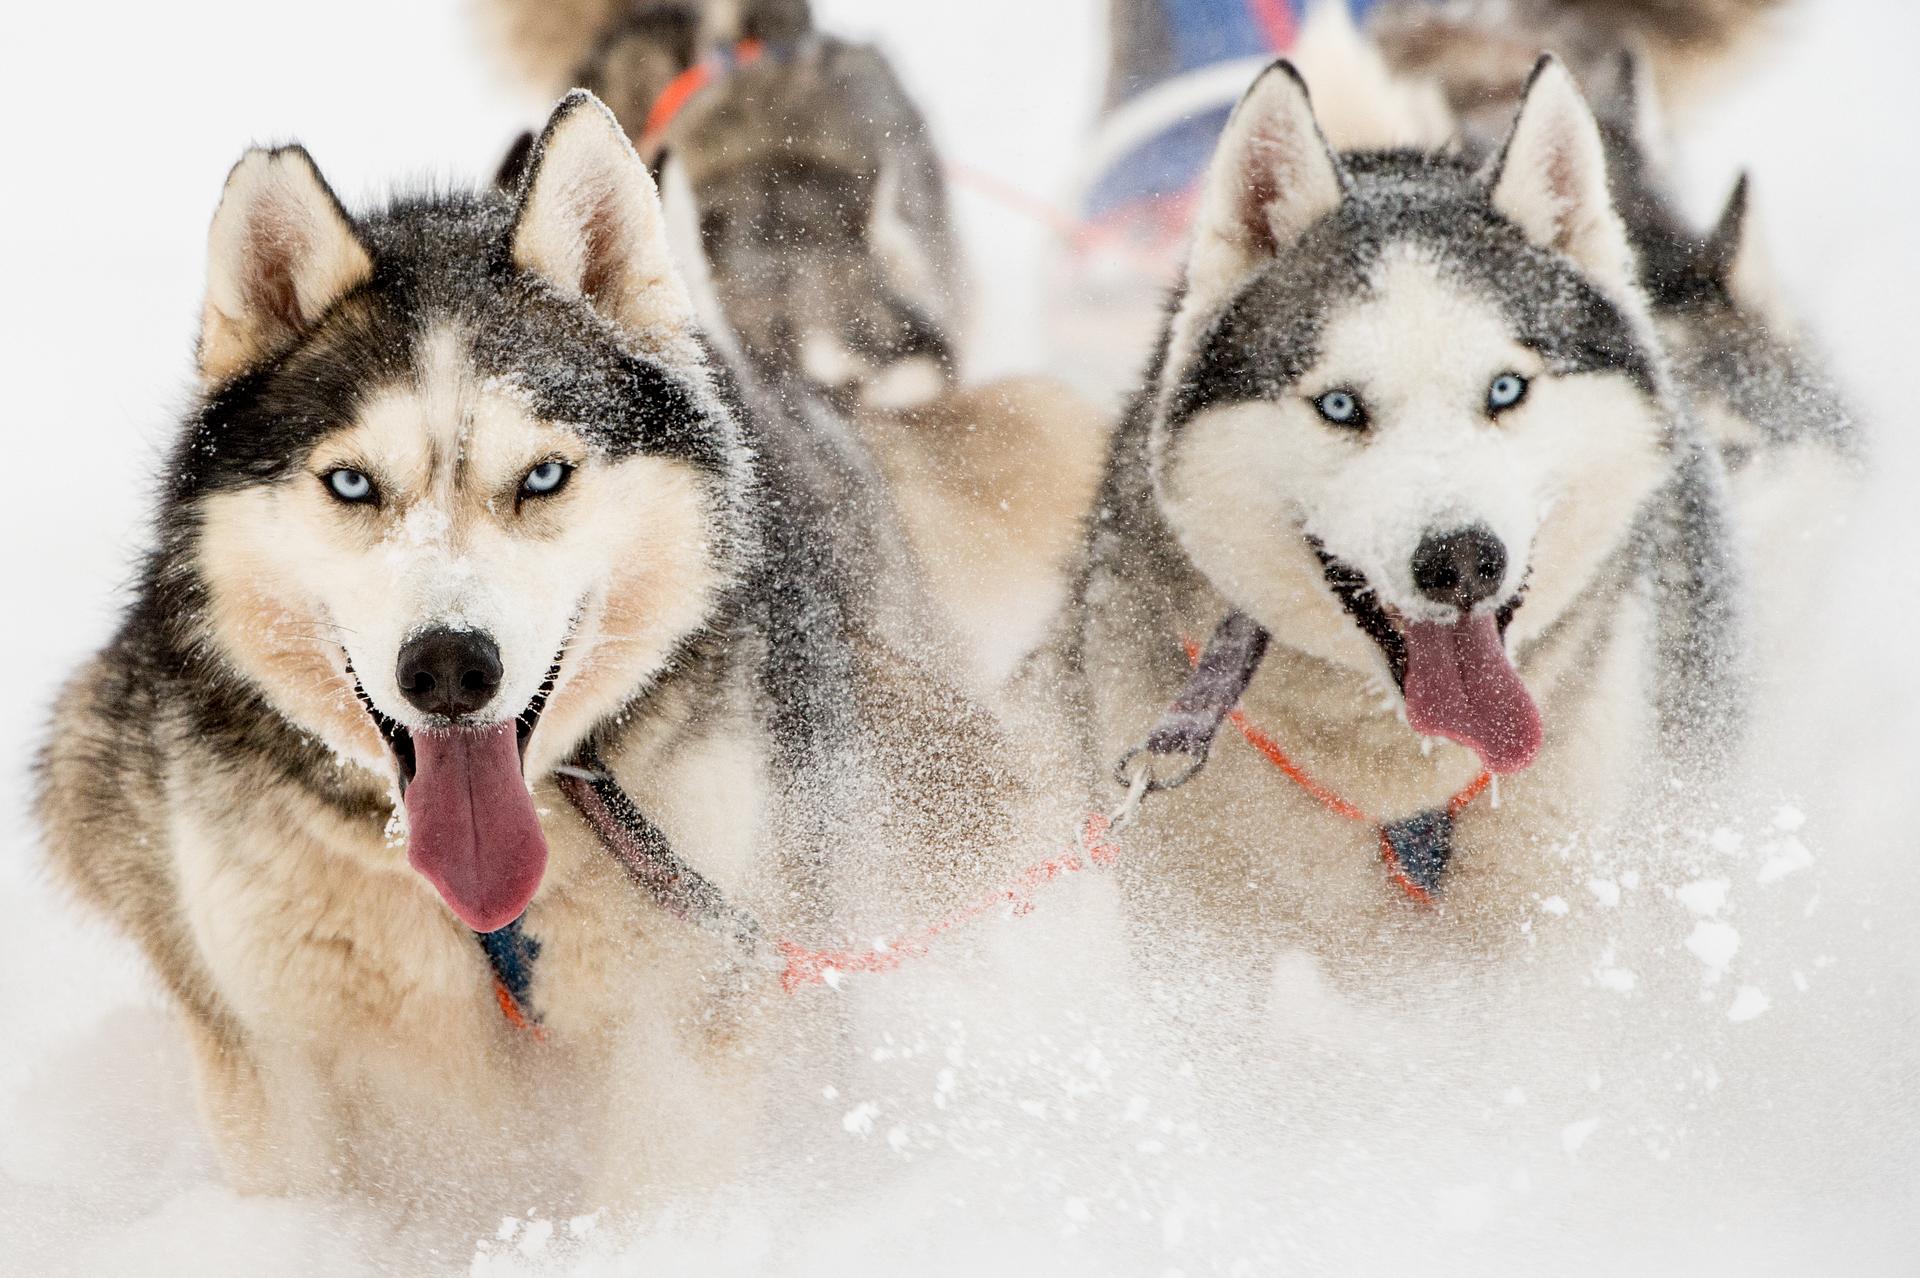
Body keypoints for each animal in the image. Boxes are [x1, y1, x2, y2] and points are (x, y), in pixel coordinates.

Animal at [37, 92, 1013, 1212]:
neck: (482, 921)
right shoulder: (273, 1066)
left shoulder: (683, 1021)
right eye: (352, 483)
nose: (449, 668)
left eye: (542, 476)